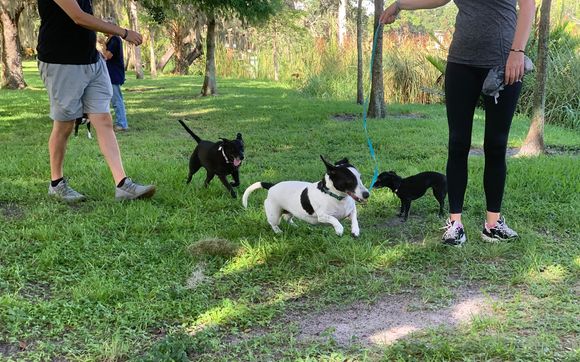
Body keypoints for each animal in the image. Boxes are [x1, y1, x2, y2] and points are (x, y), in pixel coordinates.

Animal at [242, 156, 370, 238]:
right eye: (350, 181)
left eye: (360, 177)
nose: (367, 194)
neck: (337, 197)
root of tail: (272, 186)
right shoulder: (322, 216)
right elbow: (334, 219)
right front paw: (339, 229)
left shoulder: (351, 211)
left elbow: (354, 218)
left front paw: (355, 230)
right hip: (274, 214)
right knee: (273, 223)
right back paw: (278, 232)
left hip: (290, 211)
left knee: (287, 218)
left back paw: (294, 226)